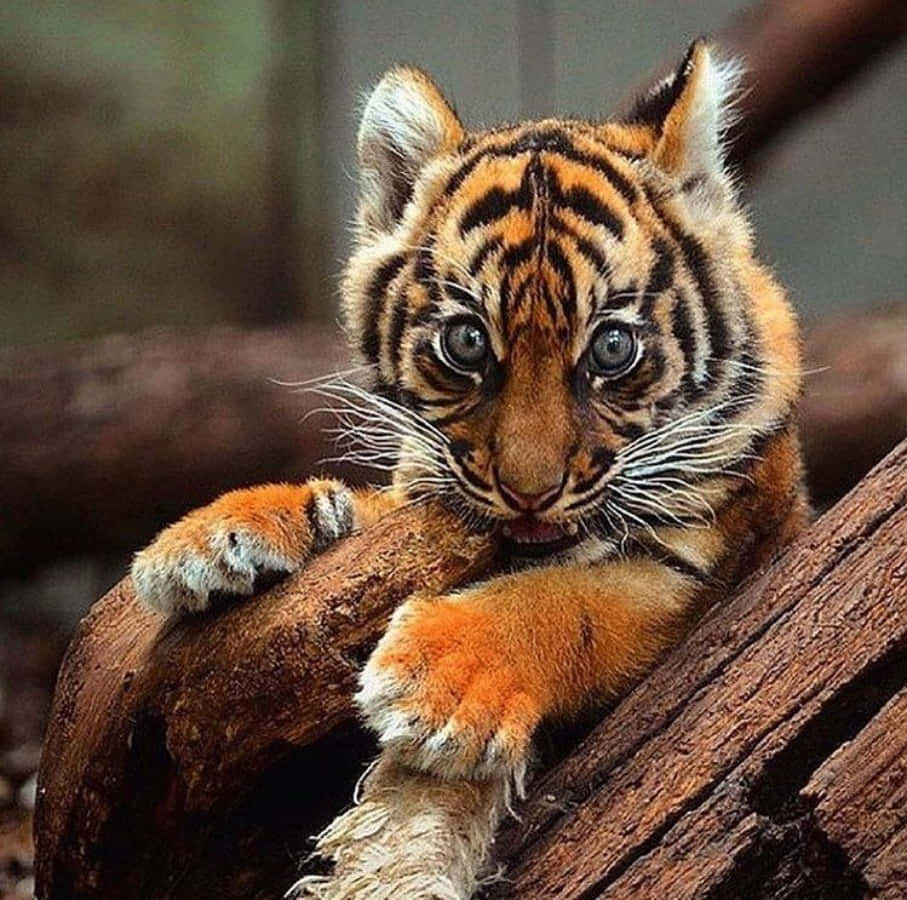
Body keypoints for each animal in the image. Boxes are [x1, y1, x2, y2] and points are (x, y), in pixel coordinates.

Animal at [132, 39, 808, 890]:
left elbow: (570, 600)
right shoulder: (423, 491)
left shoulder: (698, 573)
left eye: (610, 348)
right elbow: (368, 513)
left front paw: (439, 682)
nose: (529, 492)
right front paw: (213, 535)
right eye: (466, 342)